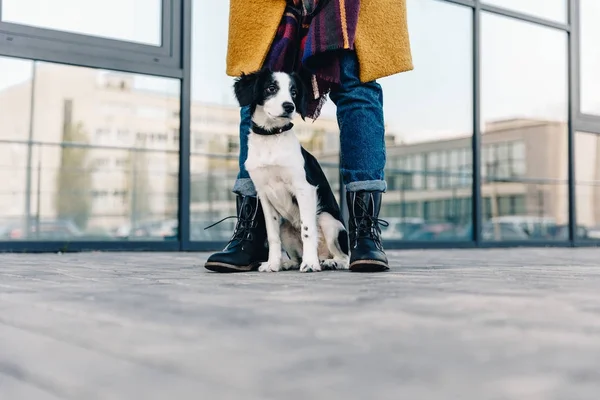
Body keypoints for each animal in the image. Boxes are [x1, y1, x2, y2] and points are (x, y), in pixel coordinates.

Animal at [233, 70, 350, 274]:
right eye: (271, 88)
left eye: (294, 92)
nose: (289, 106)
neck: (271, 137)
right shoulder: (264, 195)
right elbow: (271, 235)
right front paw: (272, 264)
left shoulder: (304, 188)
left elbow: (307, 231)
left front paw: (310, 264)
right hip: (285, 228)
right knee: (296, 257)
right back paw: (288, 263)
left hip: (328, 220)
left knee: (344, 257)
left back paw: (328, 262)